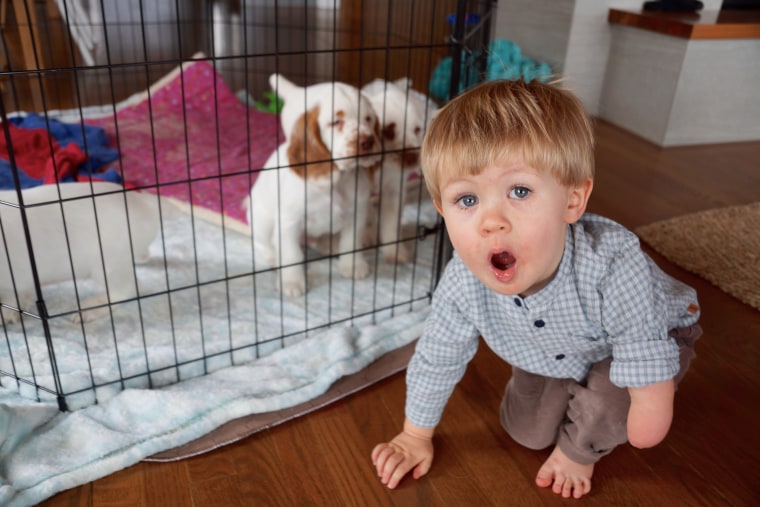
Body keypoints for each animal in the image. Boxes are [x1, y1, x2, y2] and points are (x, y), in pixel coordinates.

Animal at [0, 184, 160, 326]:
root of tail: (145, 202)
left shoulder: (14, 278)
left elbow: (12, 297)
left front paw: (6, 314)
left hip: (107, 267)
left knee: (128, 288)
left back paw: (89, 309)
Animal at [248, 76, 382, 298]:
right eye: (336, 122)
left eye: (368, 119)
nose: (368, 141)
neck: (337, 180)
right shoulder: (289, 221)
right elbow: (292, 254)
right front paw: (291, 282)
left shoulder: (357, 212)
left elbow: (351, 242)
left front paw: (353, 266)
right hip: (262, 220)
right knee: (263, 242)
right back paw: (273, 257)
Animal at [362, 78, 440, 266]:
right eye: (388, 132)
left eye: (417, 129)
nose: (412, 157)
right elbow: (367, 215)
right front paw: (367, 235)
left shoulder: (394, 190)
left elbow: (391, 222)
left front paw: (395, 252)